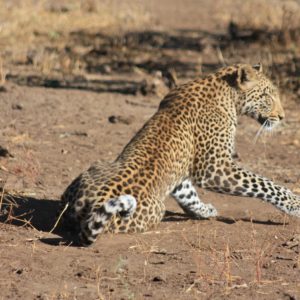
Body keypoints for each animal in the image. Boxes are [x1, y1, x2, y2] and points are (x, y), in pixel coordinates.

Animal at [58, 63, 300, 246]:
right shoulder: (215, 168)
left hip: (91, 169)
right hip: (155, 210)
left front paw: (205, 210)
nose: (282, 117)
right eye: (267, 96)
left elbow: (188, 194)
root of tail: (88, 208)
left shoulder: (182, 172)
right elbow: (265, 184)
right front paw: (295, 204)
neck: (227, 92)